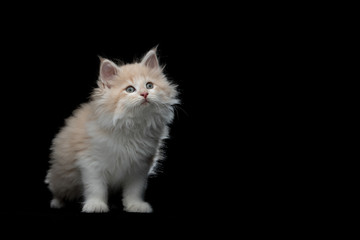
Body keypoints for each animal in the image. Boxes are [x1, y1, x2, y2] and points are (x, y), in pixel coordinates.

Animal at [45, 47, 179, 213]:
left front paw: (136, 205)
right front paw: (96, 205)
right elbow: (96, 188)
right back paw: (57, 202)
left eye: (149, 85)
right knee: (57, 189)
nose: (145, 94)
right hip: (63, 179)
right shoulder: (91, 163)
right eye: (130, 89)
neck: (131, 126)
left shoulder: (139, 167)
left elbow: (135, 190)